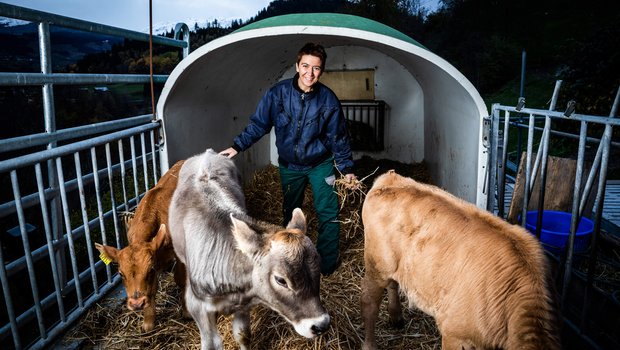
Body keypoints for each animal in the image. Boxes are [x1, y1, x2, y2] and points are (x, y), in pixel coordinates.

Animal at [94, 160, 186, 332]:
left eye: (149, 270)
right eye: (121, 274)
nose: (136, 304)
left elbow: (180, 278)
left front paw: (186, 312)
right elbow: (152, 289)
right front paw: (148, 323)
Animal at [360, 169, 560, 348]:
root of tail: (389, 178)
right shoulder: (454, 333)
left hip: (394, 265)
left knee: (392, 283)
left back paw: (396, 317)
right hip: (375, 263)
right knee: (369, 303)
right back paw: (370, 345)